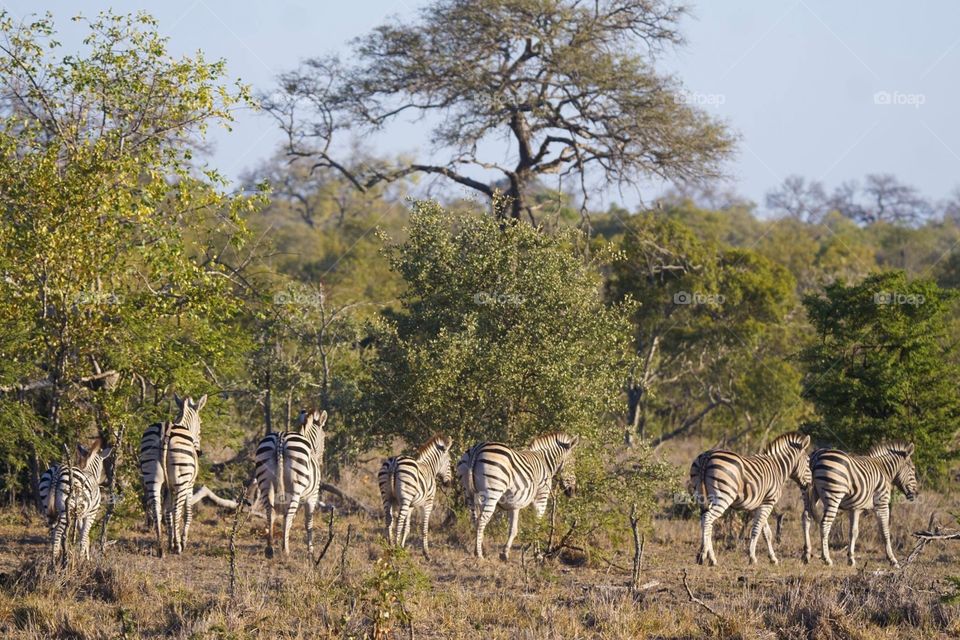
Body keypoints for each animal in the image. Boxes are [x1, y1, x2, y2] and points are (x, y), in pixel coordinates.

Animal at [138, 392, 205, 556]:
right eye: (200, 423)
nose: (199, 452)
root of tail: (167, 429)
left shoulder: (168, 486)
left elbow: (167, 511)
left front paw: (170, 541)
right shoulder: (190, 484)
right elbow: (187, 512)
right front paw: (181, 541)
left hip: (152, 476)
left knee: (157, 509)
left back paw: (160, 548)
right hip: (181, 480)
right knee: (177, 510)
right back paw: (178, 547)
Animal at [255, 408, 326, 556]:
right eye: (324, 437)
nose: (321, 461)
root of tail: (280, 438)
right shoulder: (312, 495)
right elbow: (308, 522)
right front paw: (310, 551)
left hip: (265, 484)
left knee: (270, 512)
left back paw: (270, 549)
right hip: (295, 487)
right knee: (287, 515)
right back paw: (285, 550)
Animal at [460, 432, 576, 564]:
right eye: (572, 464)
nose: (573, 492)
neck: (545, 463)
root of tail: (478, 448)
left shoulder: (514, 505)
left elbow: (513, 529)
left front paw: (505, 554)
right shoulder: (541, 497)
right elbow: (537, 525)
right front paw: (537, 555)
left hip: (468, 492)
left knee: (474, 520)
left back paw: (481, 548)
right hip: (492, 493)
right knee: (482, 520)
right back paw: (479, 554)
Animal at [688, 432, 808, 568]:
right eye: (808, 461)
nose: (808, 485)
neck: (777, 468)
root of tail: (707, 456)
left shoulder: (760, 504)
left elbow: (766, 532)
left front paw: (773, 559)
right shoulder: (768, 502)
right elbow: (756, 530)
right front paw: (752, 557)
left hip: (702, 496)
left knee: (704, 520)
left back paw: (703, 556)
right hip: (724, 497)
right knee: (708, 518)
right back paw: (708, 557)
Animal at [800, 440, 920, 568]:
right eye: (913, 469)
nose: (915, 494)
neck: (884, 471)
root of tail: (817, 456)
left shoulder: (855, 508)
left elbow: (853, 532)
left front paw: (851, 559)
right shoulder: (881, 503)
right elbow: (885, 531)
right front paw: (893, 560)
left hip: (808, 491)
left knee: (806, 517)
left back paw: (806, 555)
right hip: (834, 495)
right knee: (825, 523)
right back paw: (827, 558)